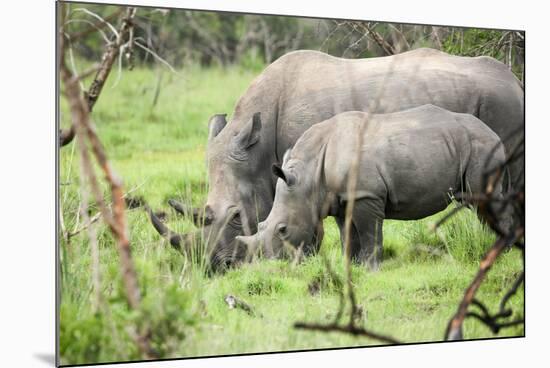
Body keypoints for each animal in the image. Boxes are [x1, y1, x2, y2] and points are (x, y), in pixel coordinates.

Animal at [237, 105, 508, 268]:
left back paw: (501, 252)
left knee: (484, 201)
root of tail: (495, 134)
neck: (309, 175)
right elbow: (348, 235)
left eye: (282, 230)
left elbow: (369, 233)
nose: (271, 265)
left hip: (482, 147)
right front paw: (352, 266)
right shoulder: (341, 198)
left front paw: (369, 267)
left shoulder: (365, 195)